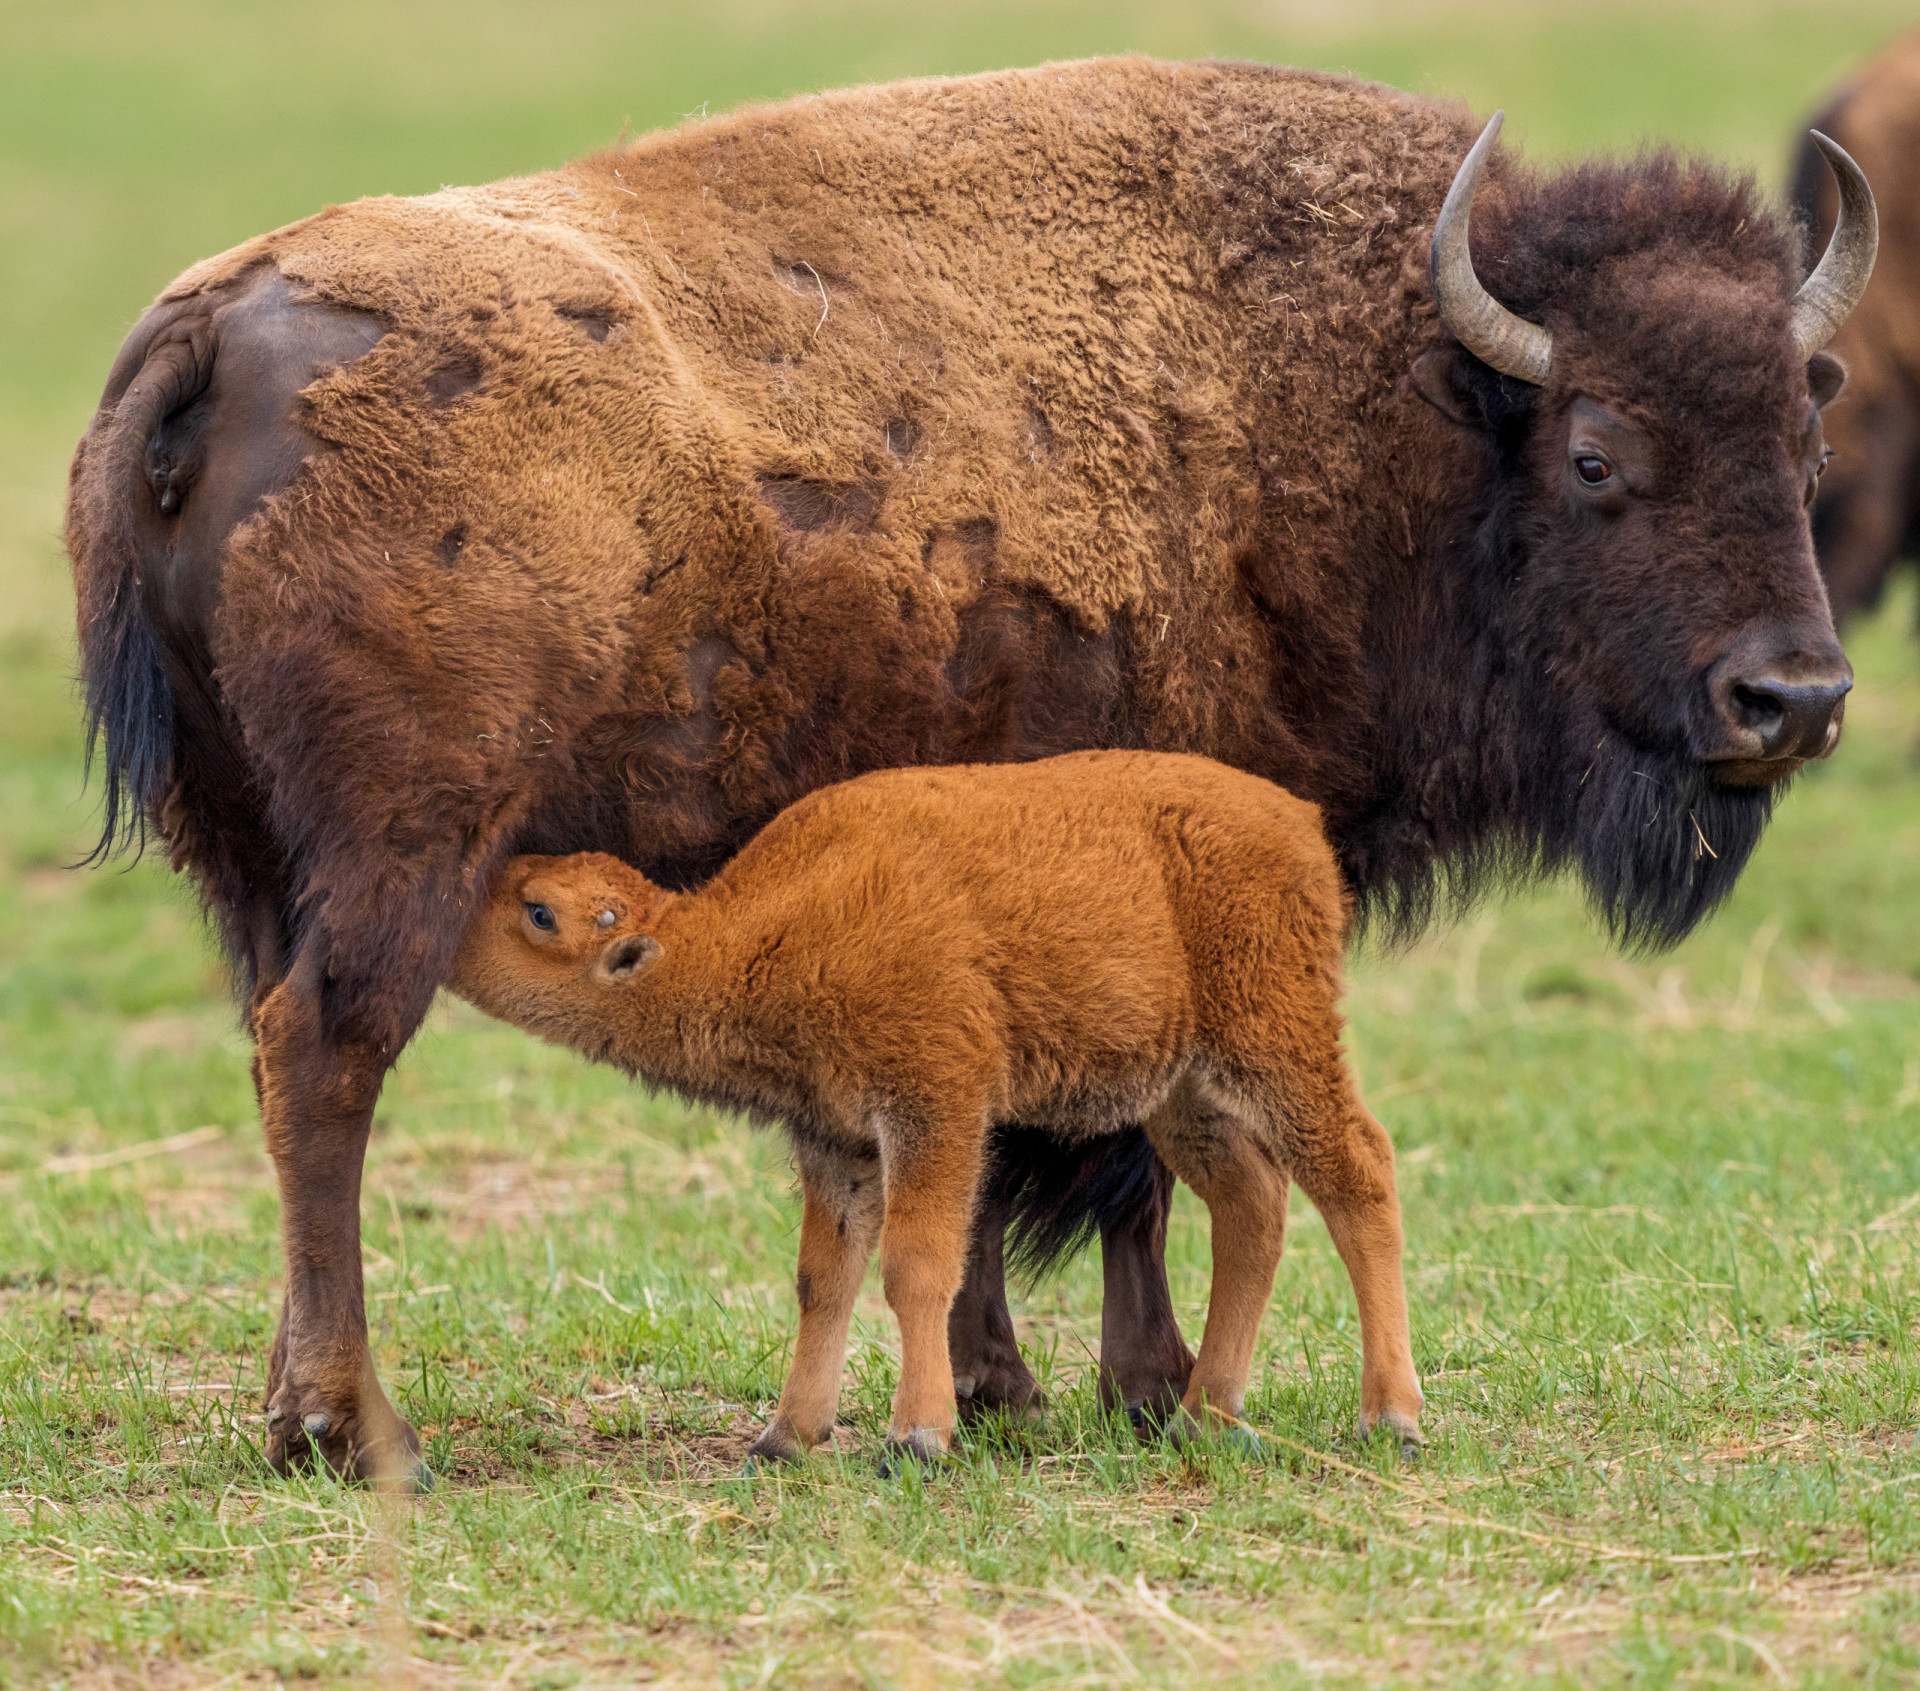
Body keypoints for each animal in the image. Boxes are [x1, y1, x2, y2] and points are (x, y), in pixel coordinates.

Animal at [449, 744, 1428, 1458]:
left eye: (539, 911)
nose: (452, 924)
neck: (769, 924)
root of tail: (1299, 825)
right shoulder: (836, 1139)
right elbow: (823, 1277)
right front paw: (785, 1437)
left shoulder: (935, 1109)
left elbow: (916, 1264)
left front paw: (916, 1437)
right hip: (1184, 1093)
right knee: (1252, 1207)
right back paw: (1204, 1417)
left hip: (1275, 1045)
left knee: (1359, 1172)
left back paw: (1392, 1417)